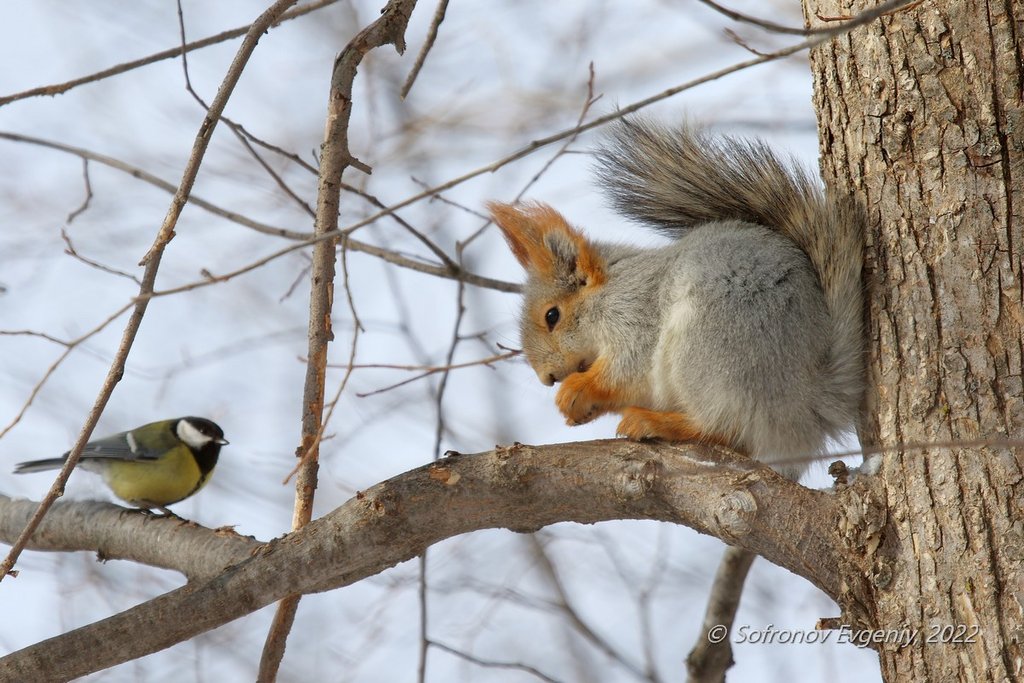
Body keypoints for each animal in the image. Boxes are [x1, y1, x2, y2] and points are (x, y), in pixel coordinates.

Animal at [489, 117, 864, 479]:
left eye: (552, 315)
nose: (547, 378)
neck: (610, 290)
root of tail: (810, 404)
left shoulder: (635, 316)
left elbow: (626, 370)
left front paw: (577, 390)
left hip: (711, 346)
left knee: (723, 427)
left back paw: (660, 422)